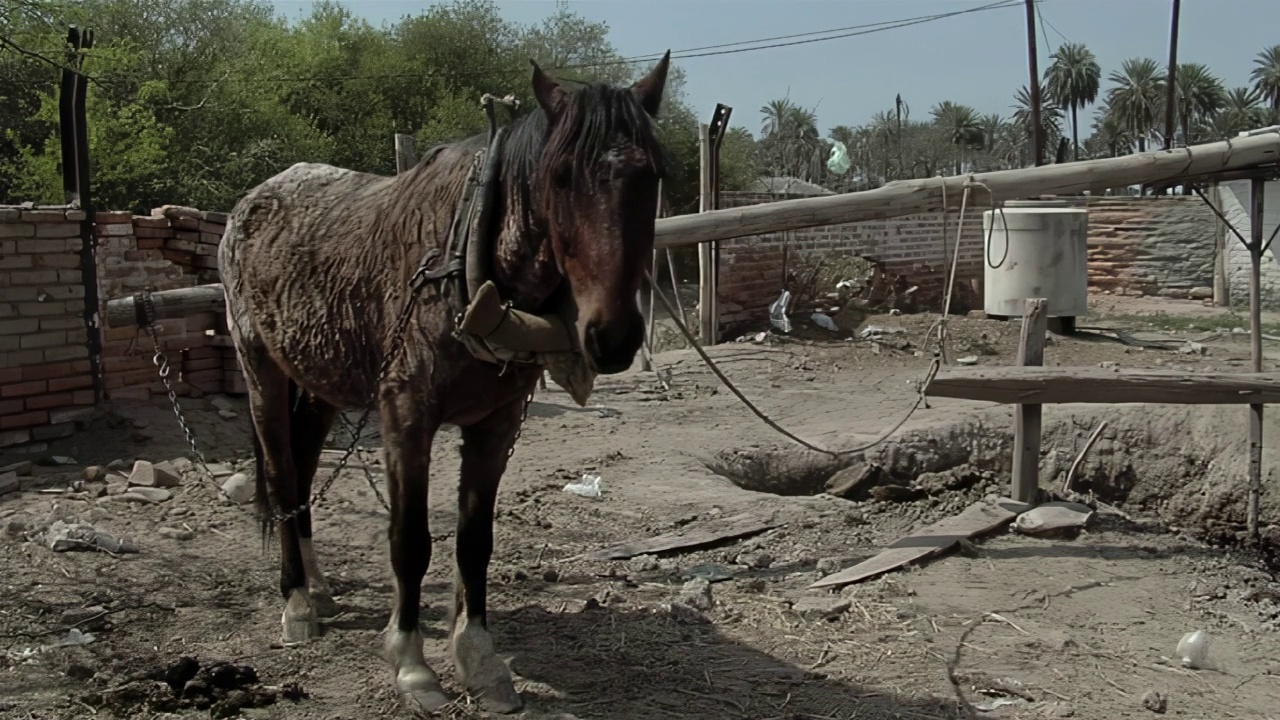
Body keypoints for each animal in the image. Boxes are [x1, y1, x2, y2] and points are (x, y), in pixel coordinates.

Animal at [212, 56, 670, 712]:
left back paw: (319, 588)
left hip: (319, 386)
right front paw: (412, 665)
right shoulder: (407, 417)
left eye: (652, 175)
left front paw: (479, 661)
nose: (614, 336)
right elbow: (410, 539)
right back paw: (297, 602)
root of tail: (251, 204)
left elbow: (474, 541)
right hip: (261, 372)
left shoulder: (496, 426)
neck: (467, 261)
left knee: (301, 474)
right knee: (279, 476)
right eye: (559, 178)